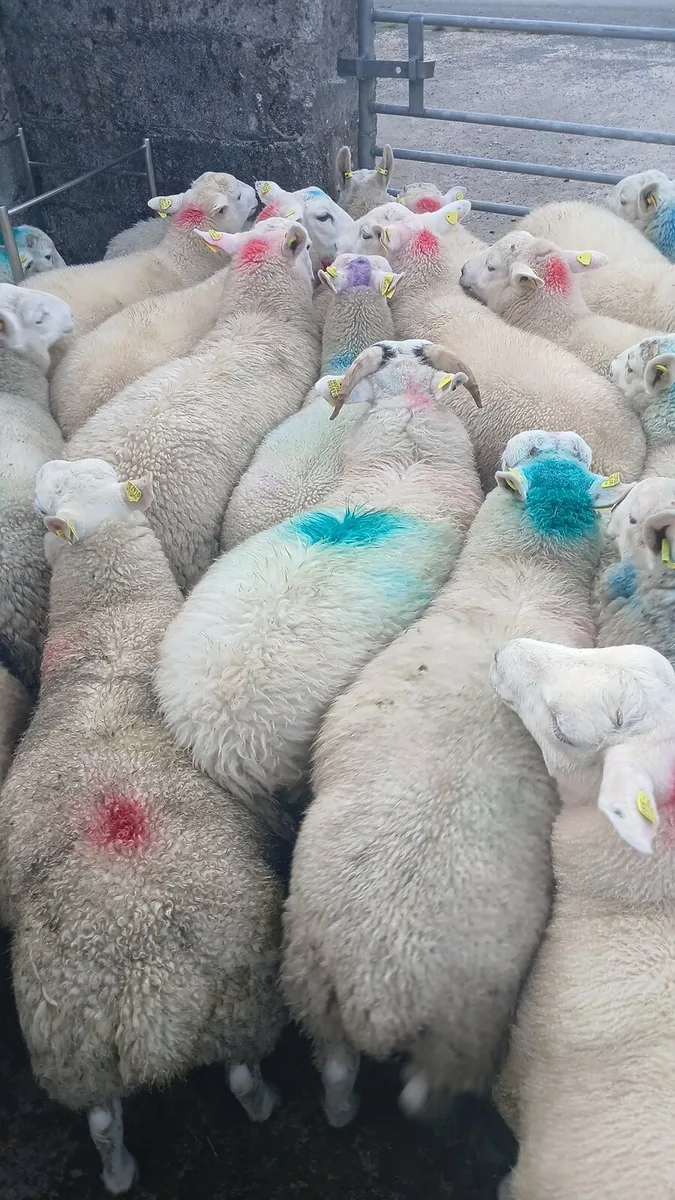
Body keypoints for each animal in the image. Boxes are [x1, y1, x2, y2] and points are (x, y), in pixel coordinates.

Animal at [0, 457, 285, 1194]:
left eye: (45, 502)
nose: (47, 467)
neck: (115, 634)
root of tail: (154, 994)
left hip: (79, 1041)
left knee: (107, 1120)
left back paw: (122, 1171)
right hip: (219, 1007)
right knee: (232, 1078)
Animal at [282, 431, 626, 1128]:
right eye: (534, 451)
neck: (524, 581)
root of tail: (382, 987)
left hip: (360, 995)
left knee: (351, 1074)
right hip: (401, 1008)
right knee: (387, 1084)